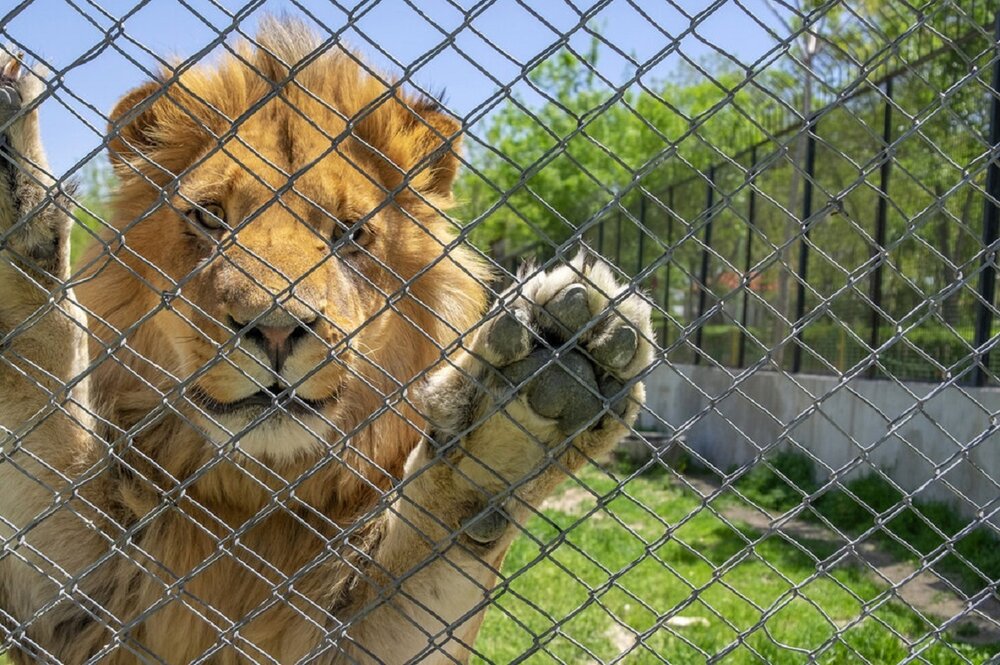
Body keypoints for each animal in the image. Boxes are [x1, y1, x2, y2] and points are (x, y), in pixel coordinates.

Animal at [0, 16, 656, 664]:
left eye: (350, 233)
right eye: (209, 217)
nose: (274, 328)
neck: (256, 498)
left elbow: (439, 539)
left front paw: (529, 407)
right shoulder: (69, 609)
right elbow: (40, 398)